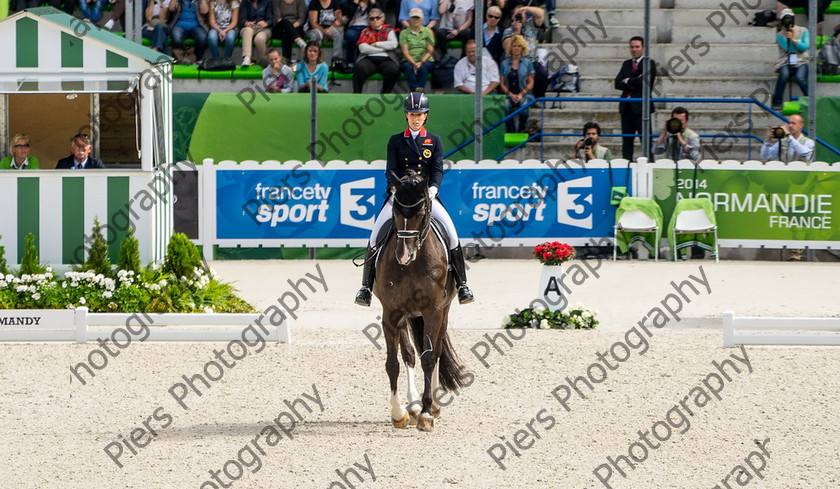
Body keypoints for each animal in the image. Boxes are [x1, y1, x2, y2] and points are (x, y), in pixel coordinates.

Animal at [376, 170, 470, 428]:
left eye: (420, 214)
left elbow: (428, 358)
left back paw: (433, 407)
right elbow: (393, 362)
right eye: (395, 213)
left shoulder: (433, 311)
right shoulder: (391, 313)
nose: (403, 256)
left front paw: (427, 414)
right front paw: (399, 413)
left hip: (443, 313)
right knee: (409, 354)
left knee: (435, 353)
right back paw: (414, 405)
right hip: (405, 316)